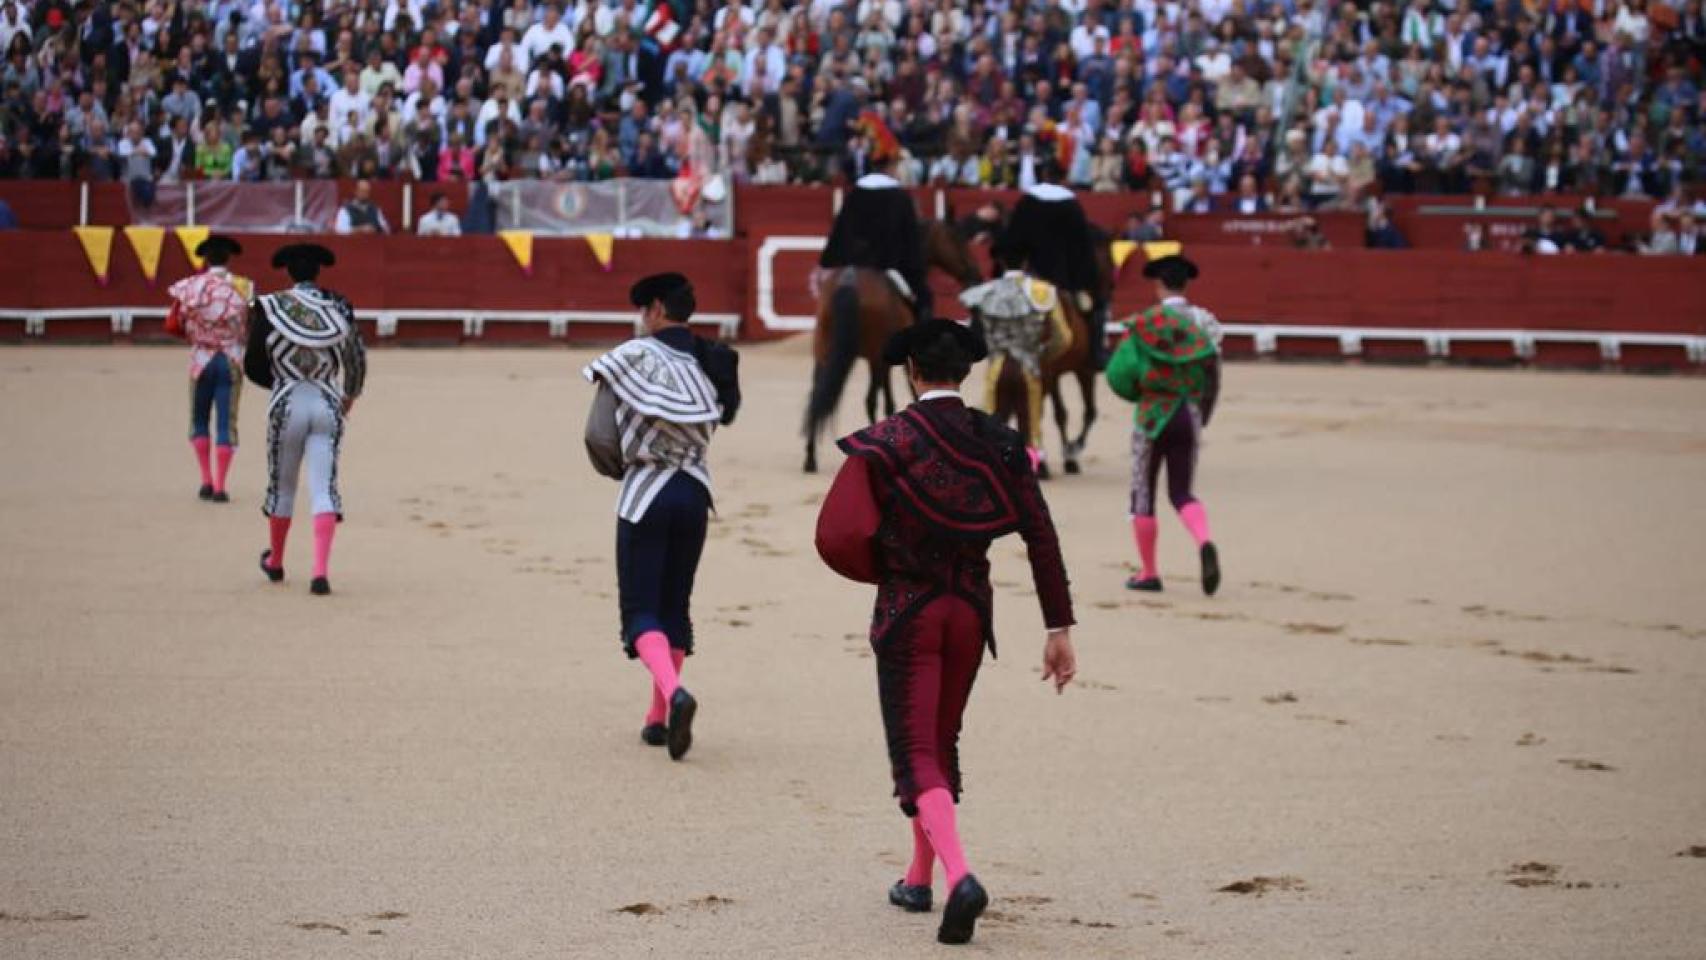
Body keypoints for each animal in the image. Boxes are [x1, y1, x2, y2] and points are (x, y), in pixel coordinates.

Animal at [801, 218, 982, 474]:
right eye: (956, 238)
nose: (975, 273)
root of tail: (849, 280)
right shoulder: (899, 358)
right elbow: (896, 396)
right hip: (873, 356)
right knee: (869, 399)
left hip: (825, 351)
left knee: (818, 393)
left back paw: (810, 457)